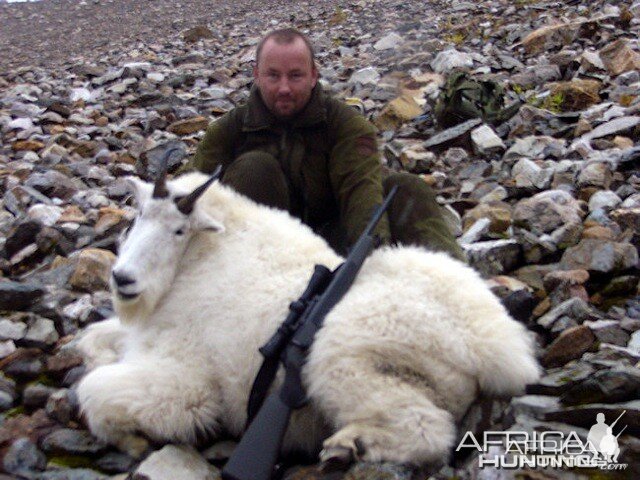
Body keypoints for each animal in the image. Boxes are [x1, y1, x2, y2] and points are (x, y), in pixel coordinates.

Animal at [77, 172, 544, 468]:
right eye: (137, 216)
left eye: (178, 230)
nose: (123, 279)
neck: (196, 264)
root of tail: (496, 349)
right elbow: (89, 341)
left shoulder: (189, 379)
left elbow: (95, 392)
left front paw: (130, 436)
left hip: (342, 359)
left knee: (427, 429)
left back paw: (348, 447)